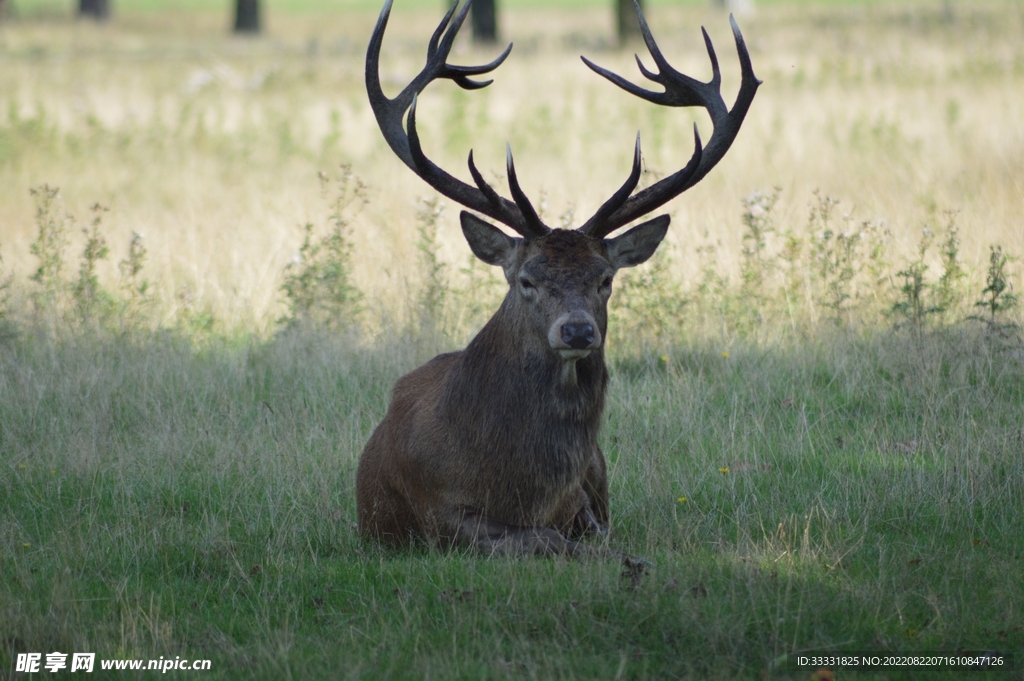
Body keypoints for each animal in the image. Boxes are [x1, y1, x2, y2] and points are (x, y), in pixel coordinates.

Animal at [356, 0, 759, 562]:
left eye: (605, 278)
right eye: (526, 280)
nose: (577, 330)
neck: (522, 488)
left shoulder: (586, 498)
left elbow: (592, 532)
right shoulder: (437, 512)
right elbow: (541, 539)